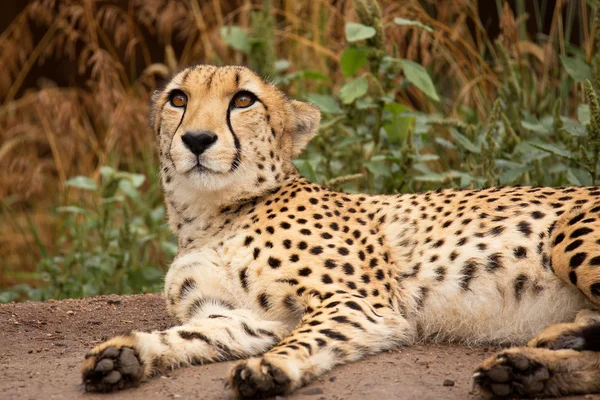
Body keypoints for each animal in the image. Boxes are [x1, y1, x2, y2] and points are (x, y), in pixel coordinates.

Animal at [81, 65, 600, 396]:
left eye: (243, 100)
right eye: (179, 99)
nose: (197, 139)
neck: (212, 214)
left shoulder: (357, 304)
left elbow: (309, 336)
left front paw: (270, 366)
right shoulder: (246, 316)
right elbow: (192, 334)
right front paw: (126, 354)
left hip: (570, 234)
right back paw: (531, 366)